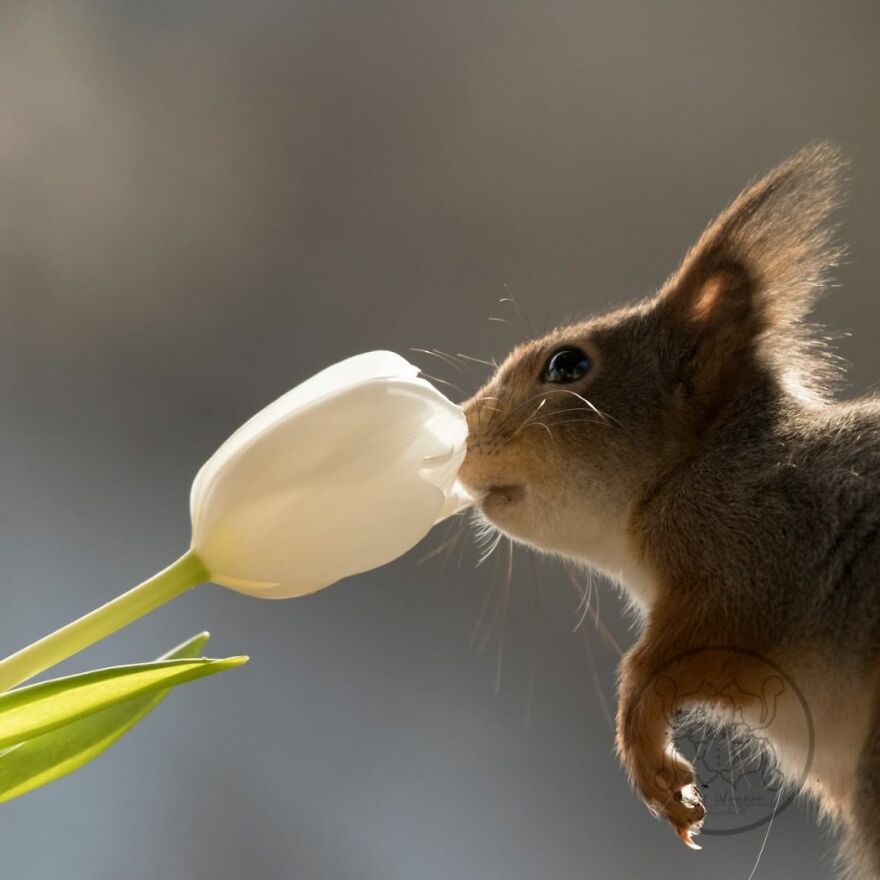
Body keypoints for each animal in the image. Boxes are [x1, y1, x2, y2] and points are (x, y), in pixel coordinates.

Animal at [456, 143, 880, 878]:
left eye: (567, 366)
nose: (458, 429)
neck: (699, 464)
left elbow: (665, 663)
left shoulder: (759, 552)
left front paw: (644, 745)